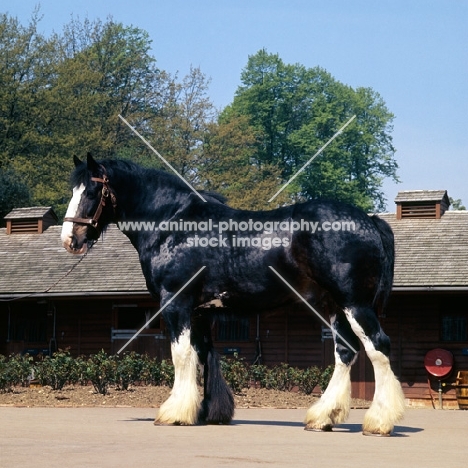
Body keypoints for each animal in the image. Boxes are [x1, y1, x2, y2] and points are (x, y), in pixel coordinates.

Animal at [61, 154, 406, 436]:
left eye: (91, 192)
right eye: (73, 190)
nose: (70, 239)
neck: (171, 223)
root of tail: (370, 221)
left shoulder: (176, 303)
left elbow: (180, 355)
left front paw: (174, 413)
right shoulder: (200, 311)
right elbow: (202, 356)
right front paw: (205, 412)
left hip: (354, 303)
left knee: (378, 347)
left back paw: (379, 422)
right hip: (332, 304)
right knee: (345, 351)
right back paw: (323, 418)